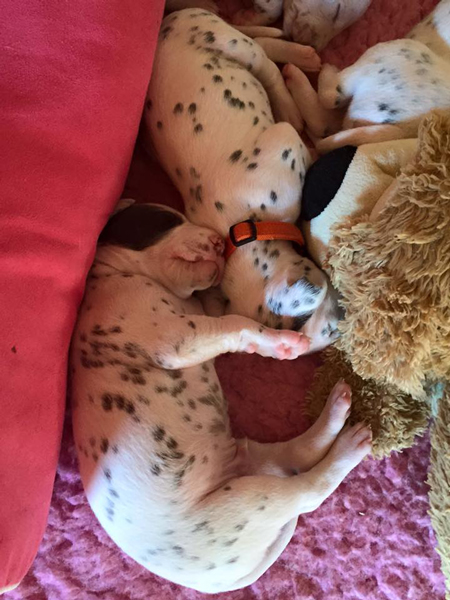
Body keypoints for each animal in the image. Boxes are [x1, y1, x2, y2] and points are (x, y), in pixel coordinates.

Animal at [70, 202, 372, 593]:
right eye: (168, 219)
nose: (218, 241)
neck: (117, 272)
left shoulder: (199, 316)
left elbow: (227, 317)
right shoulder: (177, 337)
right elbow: (236, 324)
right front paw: (279, 341)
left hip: (255, 462)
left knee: (303, 451)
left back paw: (337, 410)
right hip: (252, 499)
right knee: (310, 489)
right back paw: (348, 445)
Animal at [144, 8, 342, 354]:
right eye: (330, 332)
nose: (344, 319)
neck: (243, 226)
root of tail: (170, 18)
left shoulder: (285, 138)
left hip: (227, 41)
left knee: (266, 63)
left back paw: (292, 86)